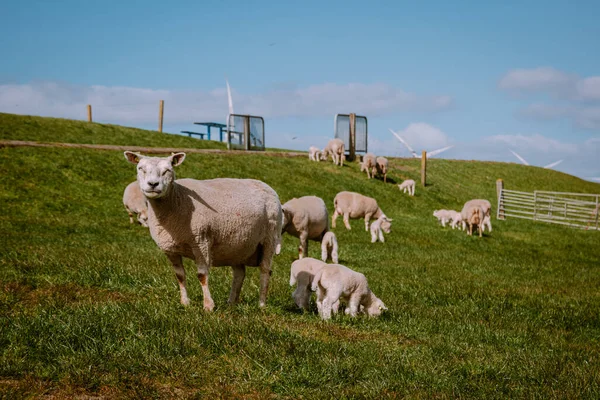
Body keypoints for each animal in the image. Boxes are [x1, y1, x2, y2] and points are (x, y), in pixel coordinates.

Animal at [124, 150, 284, 310]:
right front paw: (185, 302)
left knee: (265, 270)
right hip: (238, 244)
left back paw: (261, 304)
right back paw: (231, 302)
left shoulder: (200, 242)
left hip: (270, 238)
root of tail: (266, 185)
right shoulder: (169, 249)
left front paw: (208, 306)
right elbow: (179, 275)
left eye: (168, 170)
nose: (153, 184)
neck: (177, 200)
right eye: (140, 168)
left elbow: (202, 275)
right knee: (239, 273)